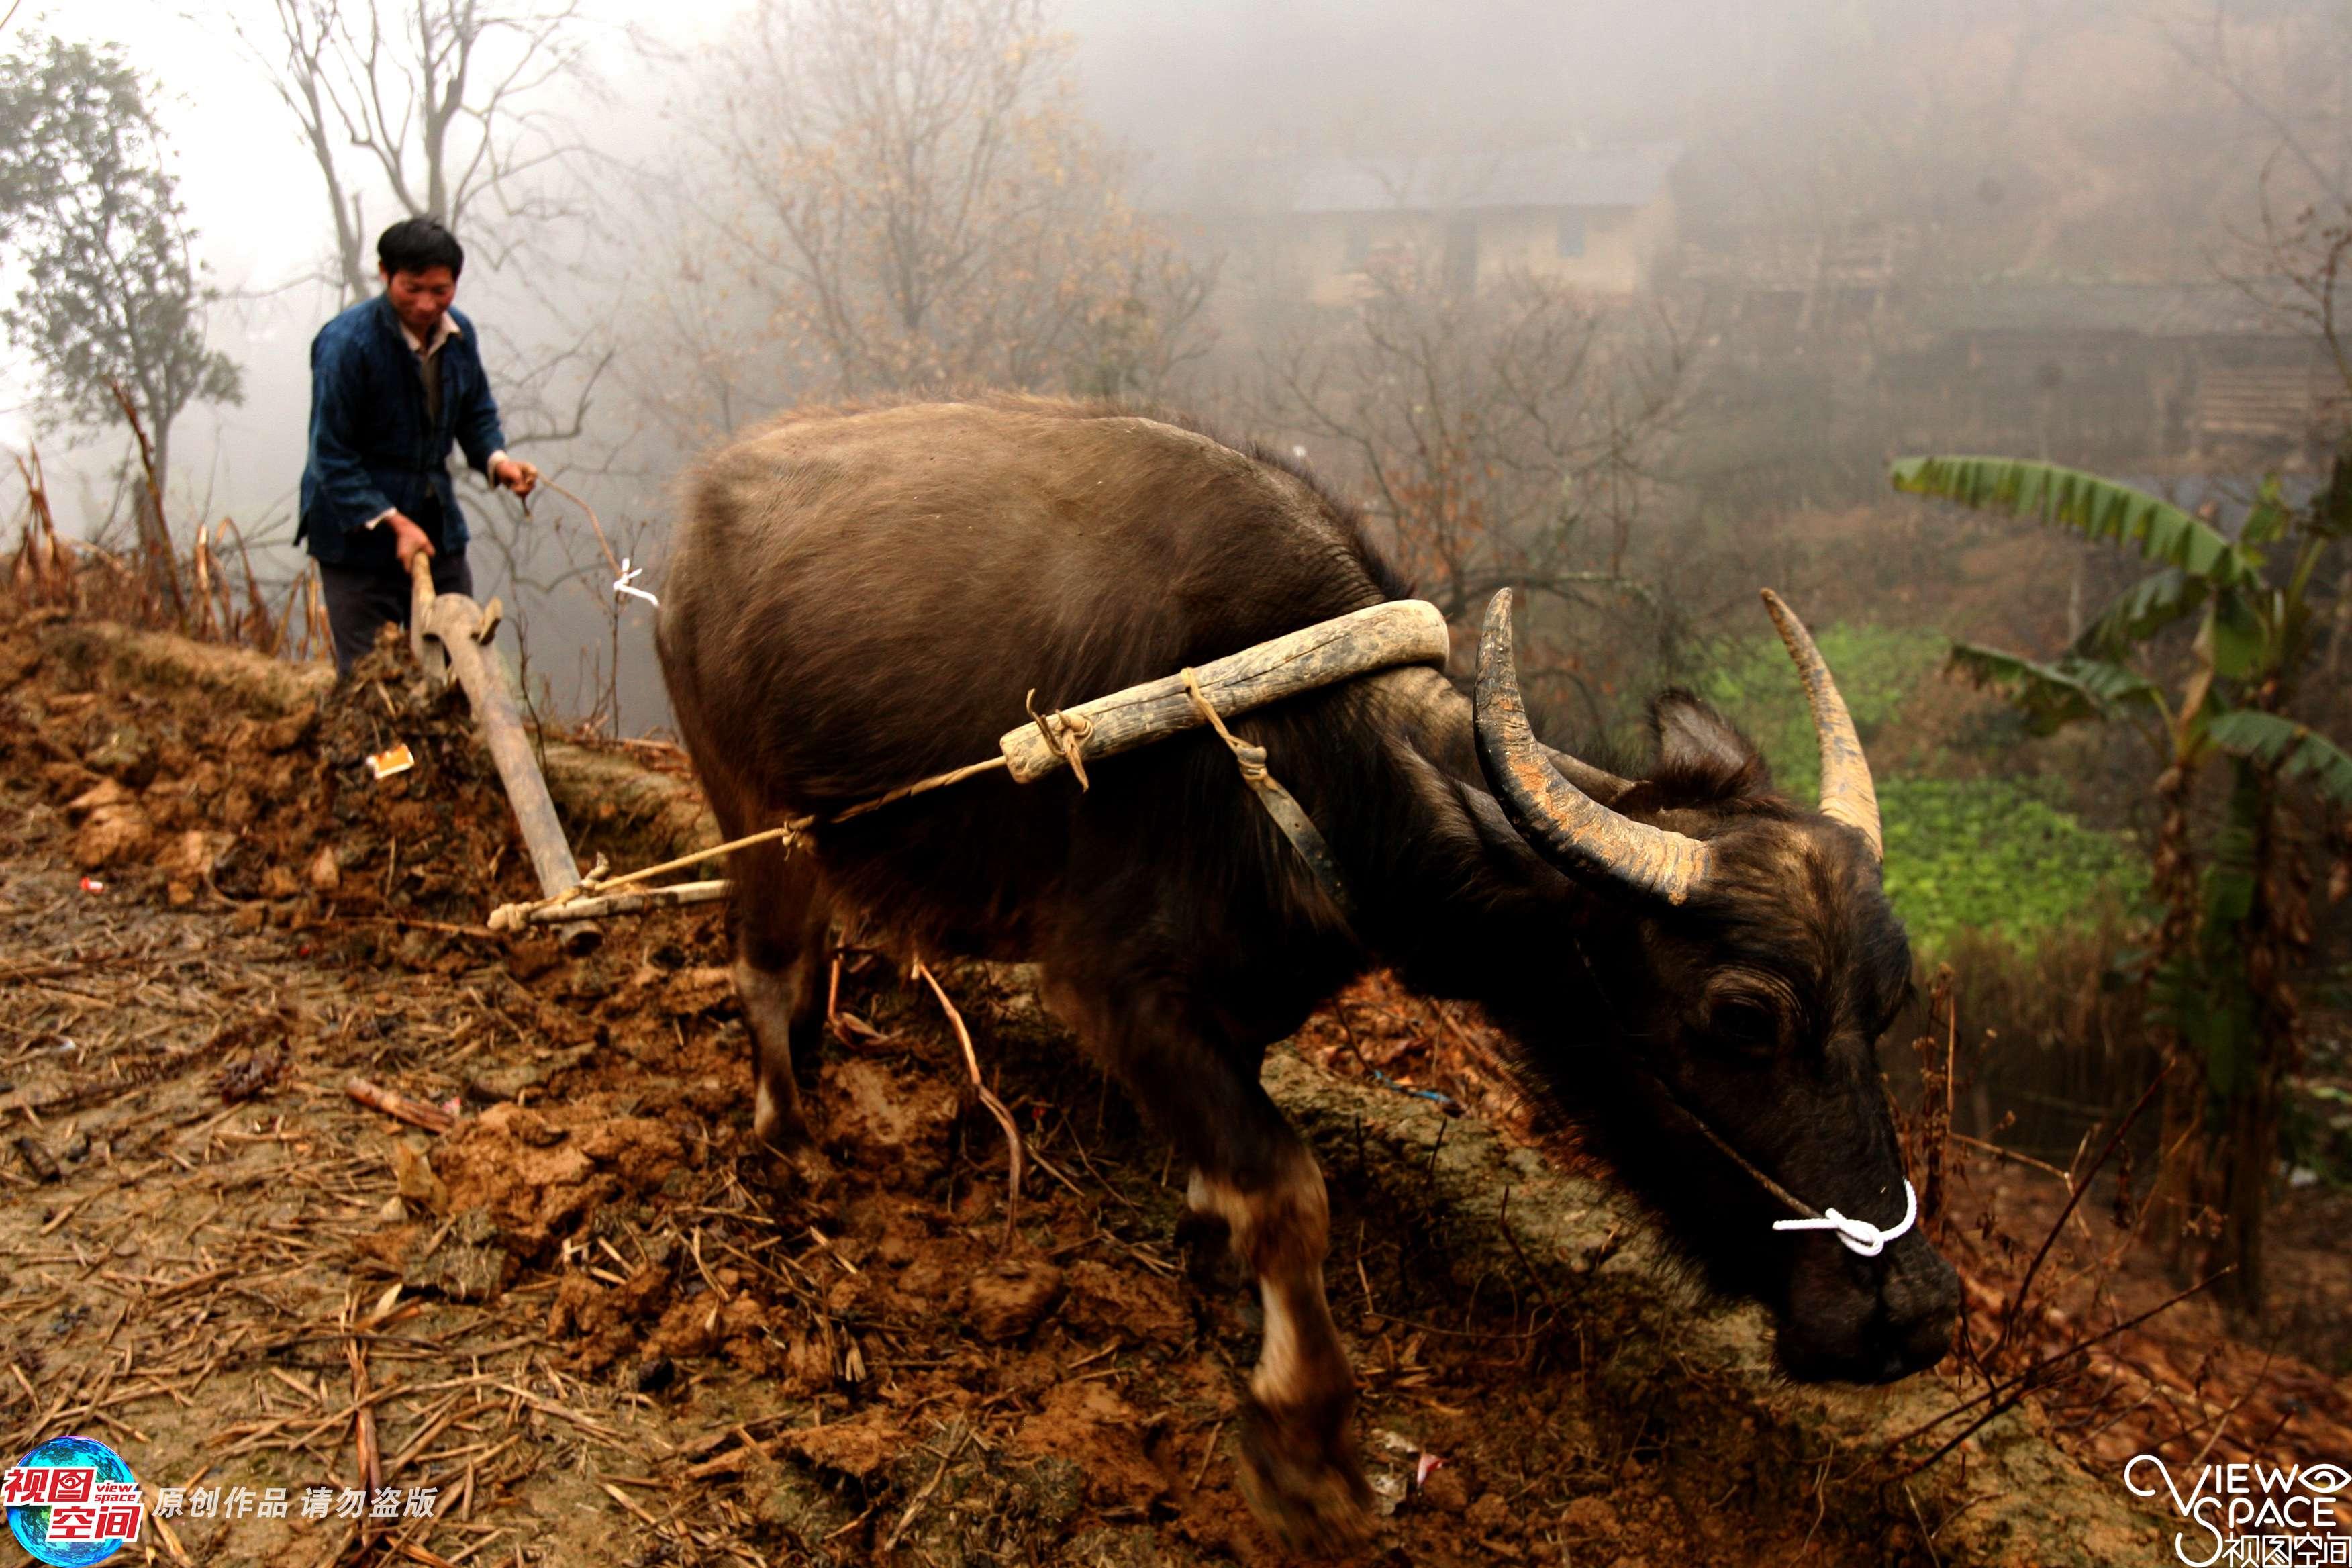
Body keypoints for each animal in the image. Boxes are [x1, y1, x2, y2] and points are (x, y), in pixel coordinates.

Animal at [654, 399, 1957, 1551]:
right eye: (1741, 1013)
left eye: (1888, 1001)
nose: (1912, 1312)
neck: (1295, 752)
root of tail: (692, 525)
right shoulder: (1114, 989)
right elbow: (1288, 1190)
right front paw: (1307, 1451)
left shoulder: (1245, 1004)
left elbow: (1235, 1175)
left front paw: (1208, 1267)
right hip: (754, 810)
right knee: (764, 958)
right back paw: (788, 1134)